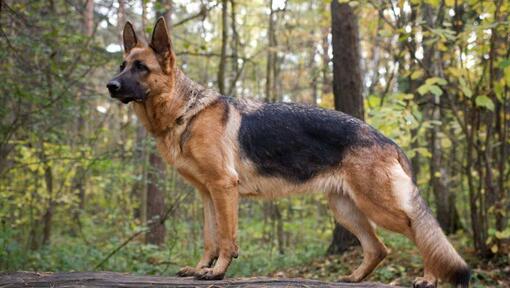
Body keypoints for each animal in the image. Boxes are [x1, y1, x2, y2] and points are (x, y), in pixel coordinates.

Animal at [106, 18, 470, 288]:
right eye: (123, 65)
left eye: (141, 68)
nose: (110, 85)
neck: (185, 111)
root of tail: (389, 141)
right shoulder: (208, 194)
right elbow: (210, 237)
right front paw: (200, 268)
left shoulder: (224, 188)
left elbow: (226, 238)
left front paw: (218, 271)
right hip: (345, 209)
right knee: (378, 248)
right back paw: (354, 277)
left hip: (378, 206)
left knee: (417, 230)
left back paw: (429, 278)